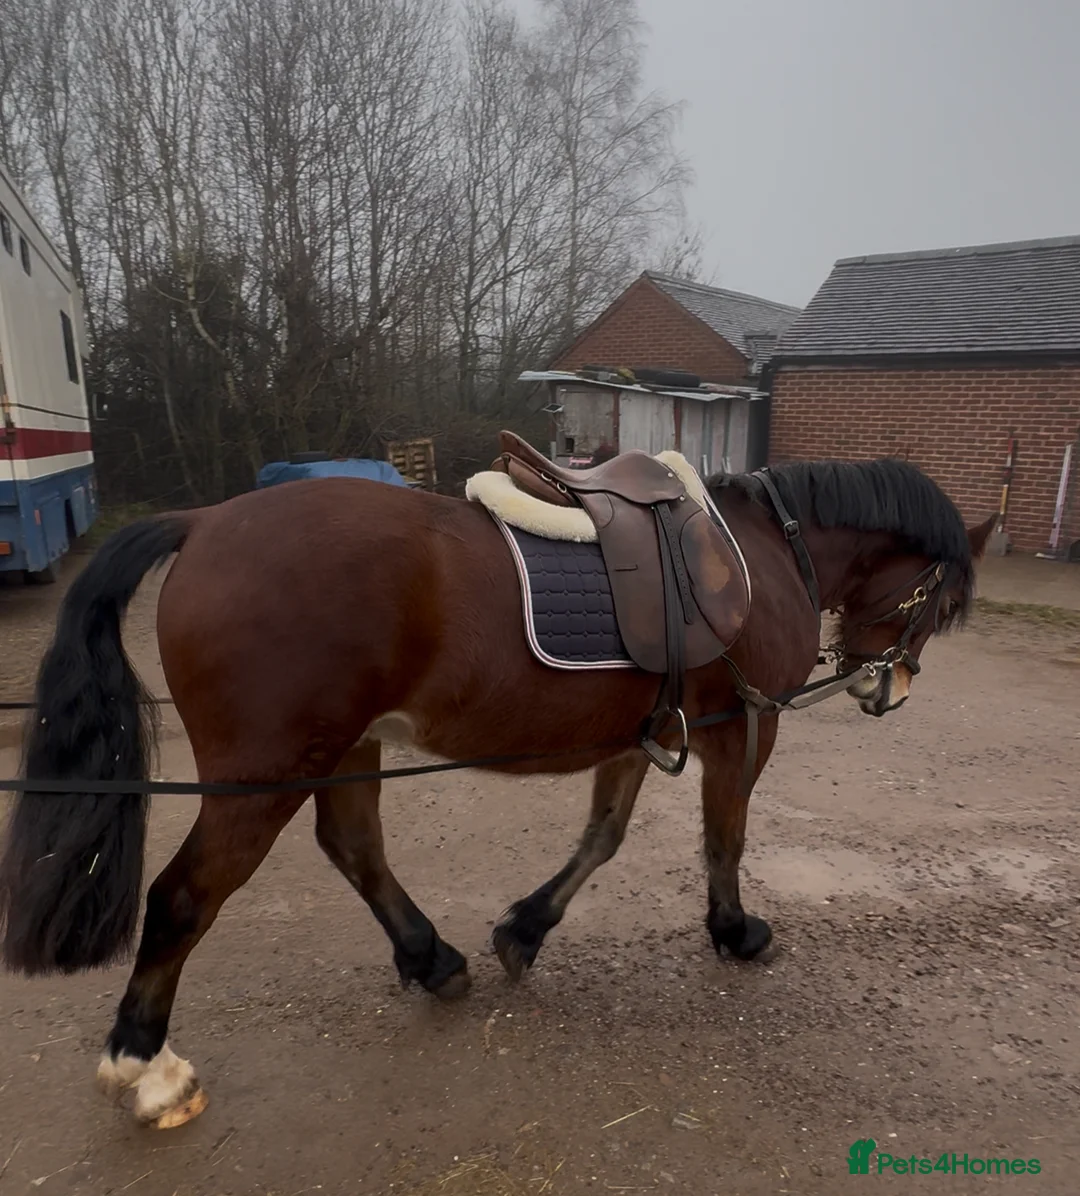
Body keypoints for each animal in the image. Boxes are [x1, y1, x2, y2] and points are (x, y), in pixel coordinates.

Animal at [0, 449, 992, 1128]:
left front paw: (526, 928)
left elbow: (602, 838)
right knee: (181, 900)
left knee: (354, 850)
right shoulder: (741, 727)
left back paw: (430, 957)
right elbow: (725, 838)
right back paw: (145, 1064)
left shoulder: (638, 731)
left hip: (347, 749)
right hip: (261, 779)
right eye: (945, 603)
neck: (758, 552)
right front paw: (734, 931)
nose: (889, 689)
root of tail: (204, 522)